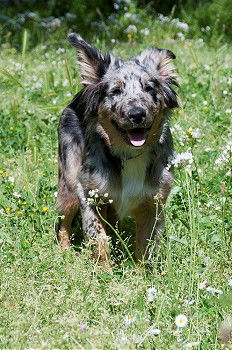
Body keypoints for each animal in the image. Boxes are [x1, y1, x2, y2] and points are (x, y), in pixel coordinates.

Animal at [55, 33, 178, 262]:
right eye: (115, 91)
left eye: (149, 88)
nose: (137, 114)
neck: (129, 155)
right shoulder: (89, 194)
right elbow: (100, 241)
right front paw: (104, 269)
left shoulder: (153, 204)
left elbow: (144, 249)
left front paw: (141, 271)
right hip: (68, 183)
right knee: (62, 224)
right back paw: (65, 255)